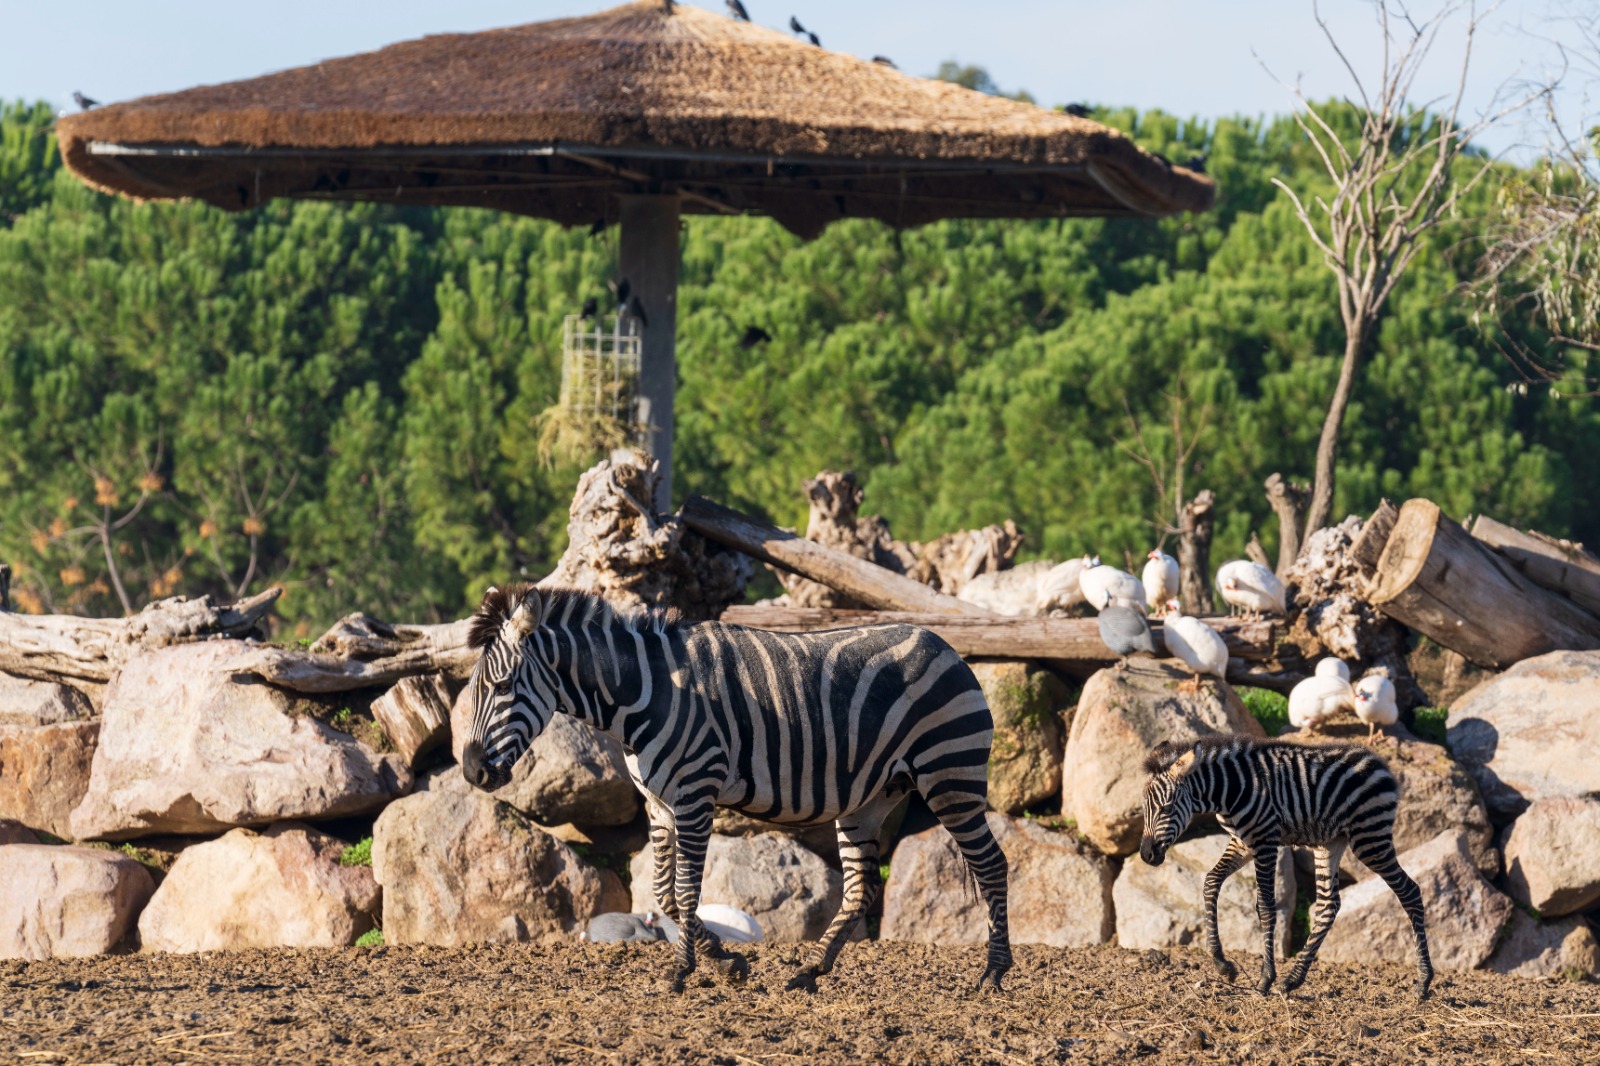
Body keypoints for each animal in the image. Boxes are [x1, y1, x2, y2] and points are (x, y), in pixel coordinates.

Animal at [464, 582, 1011, 985]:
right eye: (473, 689)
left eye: (502, 686)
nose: (471, 770)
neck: (645, 694)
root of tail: (946, 646)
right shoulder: (658, 806)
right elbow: (664, 893)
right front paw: (725, 961)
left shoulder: (695, 794)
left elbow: (686, 891)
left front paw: (683, 973)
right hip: (871, 798)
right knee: (861, 886)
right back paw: (810, 970)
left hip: (950, 774)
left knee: (991, 864)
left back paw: (993, 974)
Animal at [1139, 729, 1440, 998]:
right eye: (1143, 809)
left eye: (1167, 808)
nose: (1146, 855)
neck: (1233, 789)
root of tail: (1380, 763)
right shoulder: (1242, 842)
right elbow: (1211, 882)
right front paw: (1223, 964)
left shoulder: (1265, 840)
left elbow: (1266, 907)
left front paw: (1265, 979)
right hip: (1331, 843)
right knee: (1329, 905)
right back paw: (1293, 979)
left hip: (1370, 838)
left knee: (1409, 891)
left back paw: (1424, 982)